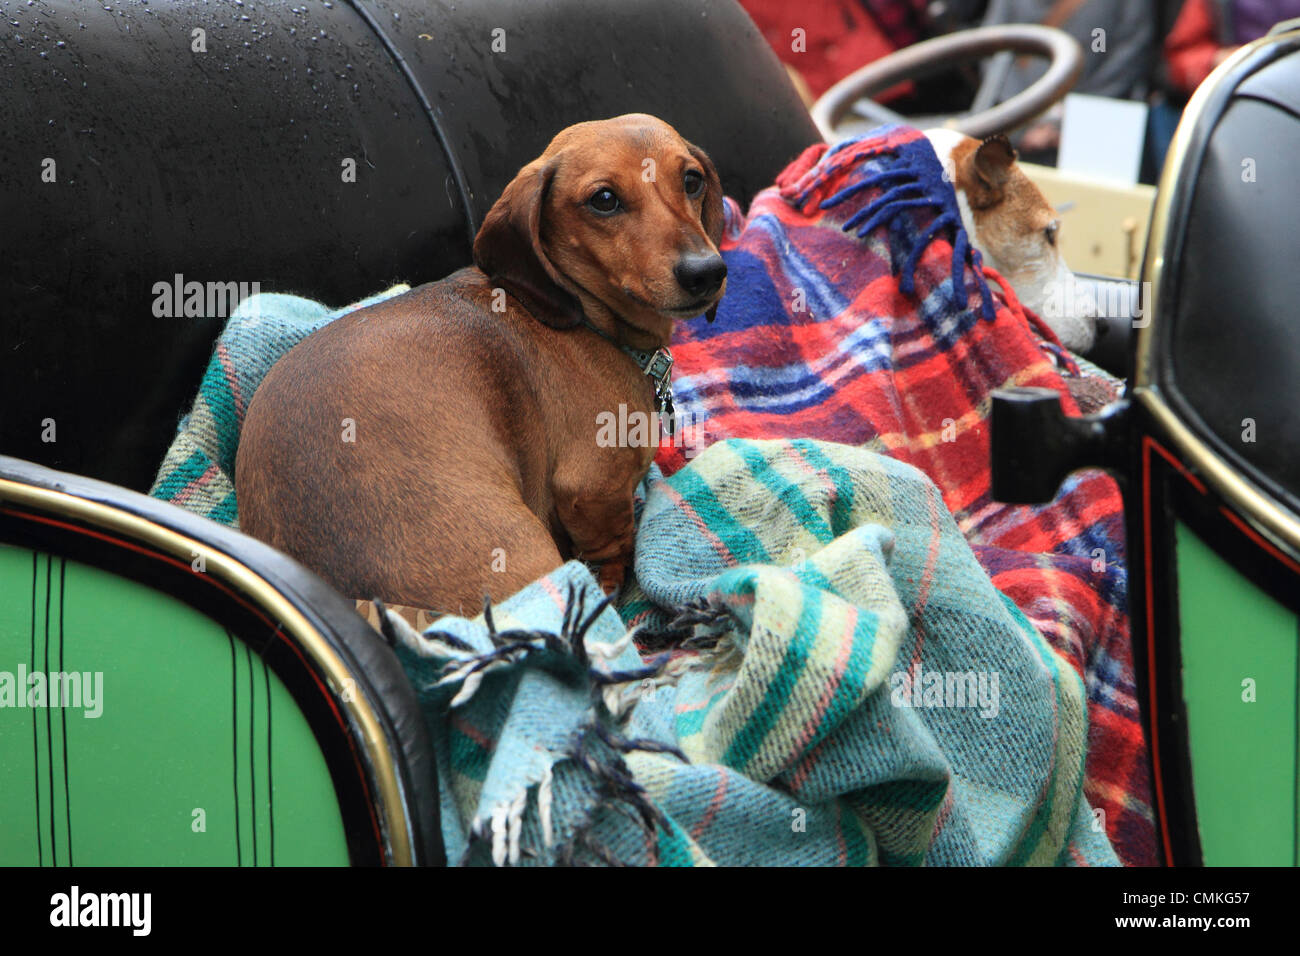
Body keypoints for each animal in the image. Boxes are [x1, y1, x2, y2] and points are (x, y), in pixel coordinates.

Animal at [239, 115, 728, 616]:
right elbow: (615, 544)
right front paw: (611, 583)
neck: (590, 319)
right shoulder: (592, 489)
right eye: (604, 199)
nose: (707, 272)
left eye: (692, 180)